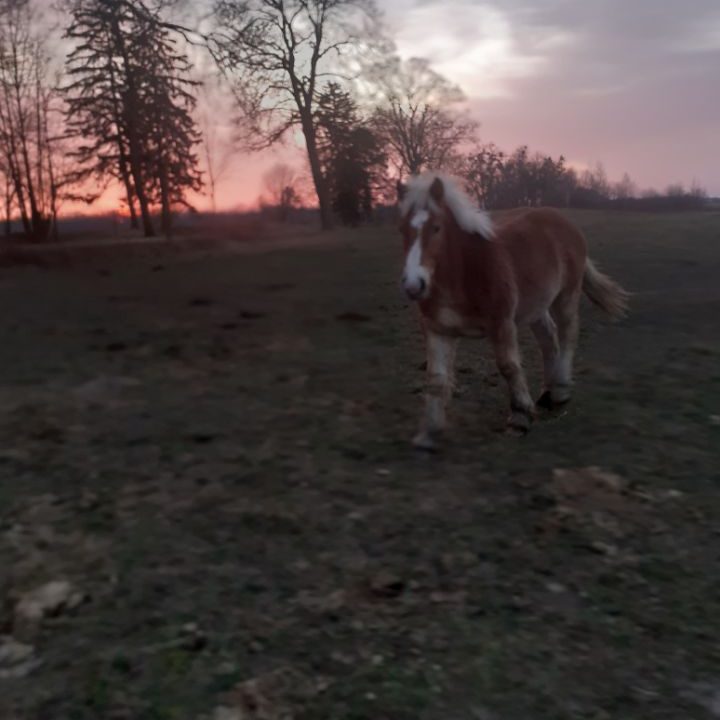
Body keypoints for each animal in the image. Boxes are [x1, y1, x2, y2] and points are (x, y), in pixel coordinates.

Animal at [396, 172, 628, 450]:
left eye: (436, 227)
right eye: (401, 229)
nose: (414, 285)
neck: (463, 273)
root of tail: (564, 221)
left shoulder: (502, 324)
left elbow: (508, 367)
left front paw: (520, 417)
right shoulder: (437, 330)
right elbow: (436, 378)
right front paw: (428, 433)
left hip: (566, 296)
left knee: (568, 334)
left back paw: (560, 391)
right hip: (537, 306)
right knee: (548, 339)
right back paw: (547, 393)